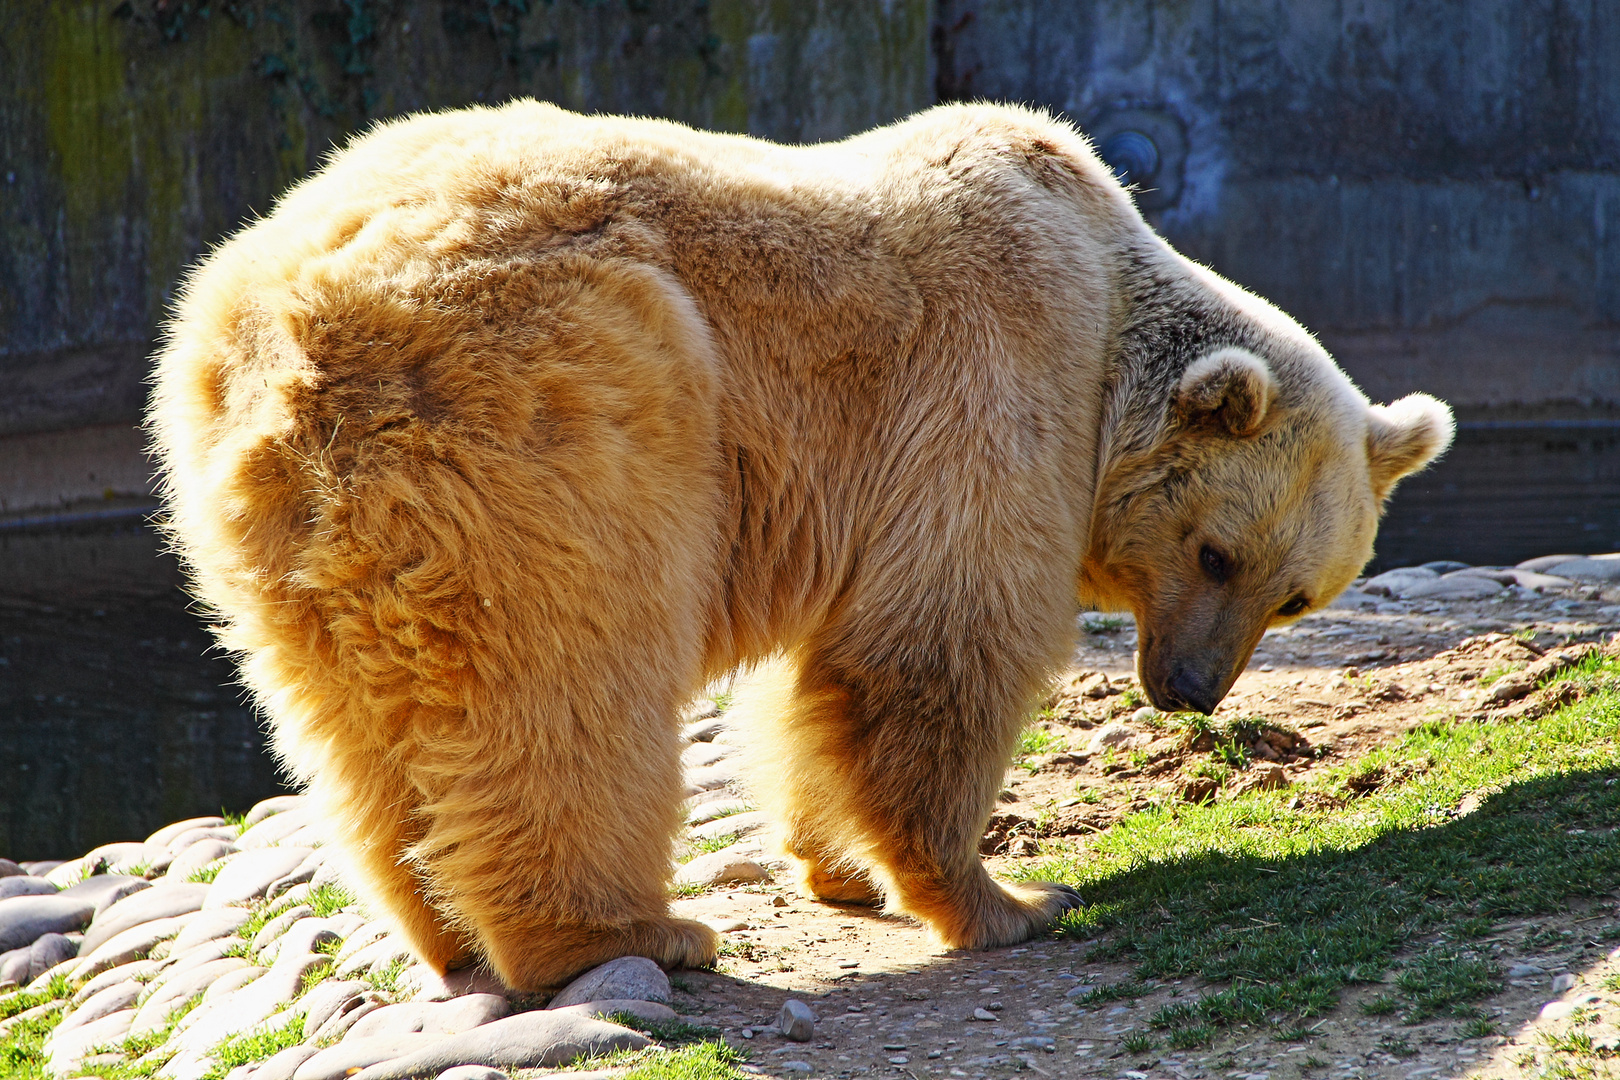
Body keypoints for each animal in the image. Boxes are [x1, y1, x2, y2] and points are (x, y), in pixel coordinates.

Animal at [145, 99, 1451, 990]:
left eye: (1297, 598)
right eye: (1219, 554)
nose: (1188, 690)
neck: (1108, 295)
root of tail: (278, 319)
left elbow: (823, 674)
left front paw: (838, 864)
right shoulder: (998, 368)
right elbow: (938, 643)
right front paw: (1010, 896)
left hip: (265, 516)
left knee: (356, 731)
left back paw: (450, 933)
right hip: (553, 408)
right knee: (559, 677)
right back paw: (626, 930)